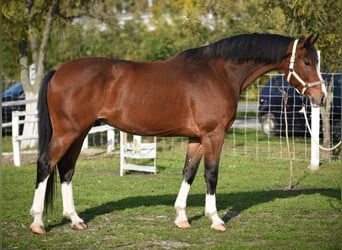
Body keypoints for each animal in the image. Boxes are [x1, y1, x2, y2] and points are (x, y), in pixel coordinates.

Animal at [30, 33, 328, 234]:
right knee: (46, 164)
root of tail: (59, 71)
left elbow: (189, 172)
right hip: (68, 133)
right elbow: (211, 174)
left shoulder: (196, 138)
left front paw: (181, 217)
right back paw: (38, 222)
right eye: (306, 61)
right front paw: (216, 219)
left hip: (79, 134)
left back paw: (75, 219)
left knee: (66, 170)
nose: (321, 97)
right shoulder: (213, 135)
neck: (218, 73)